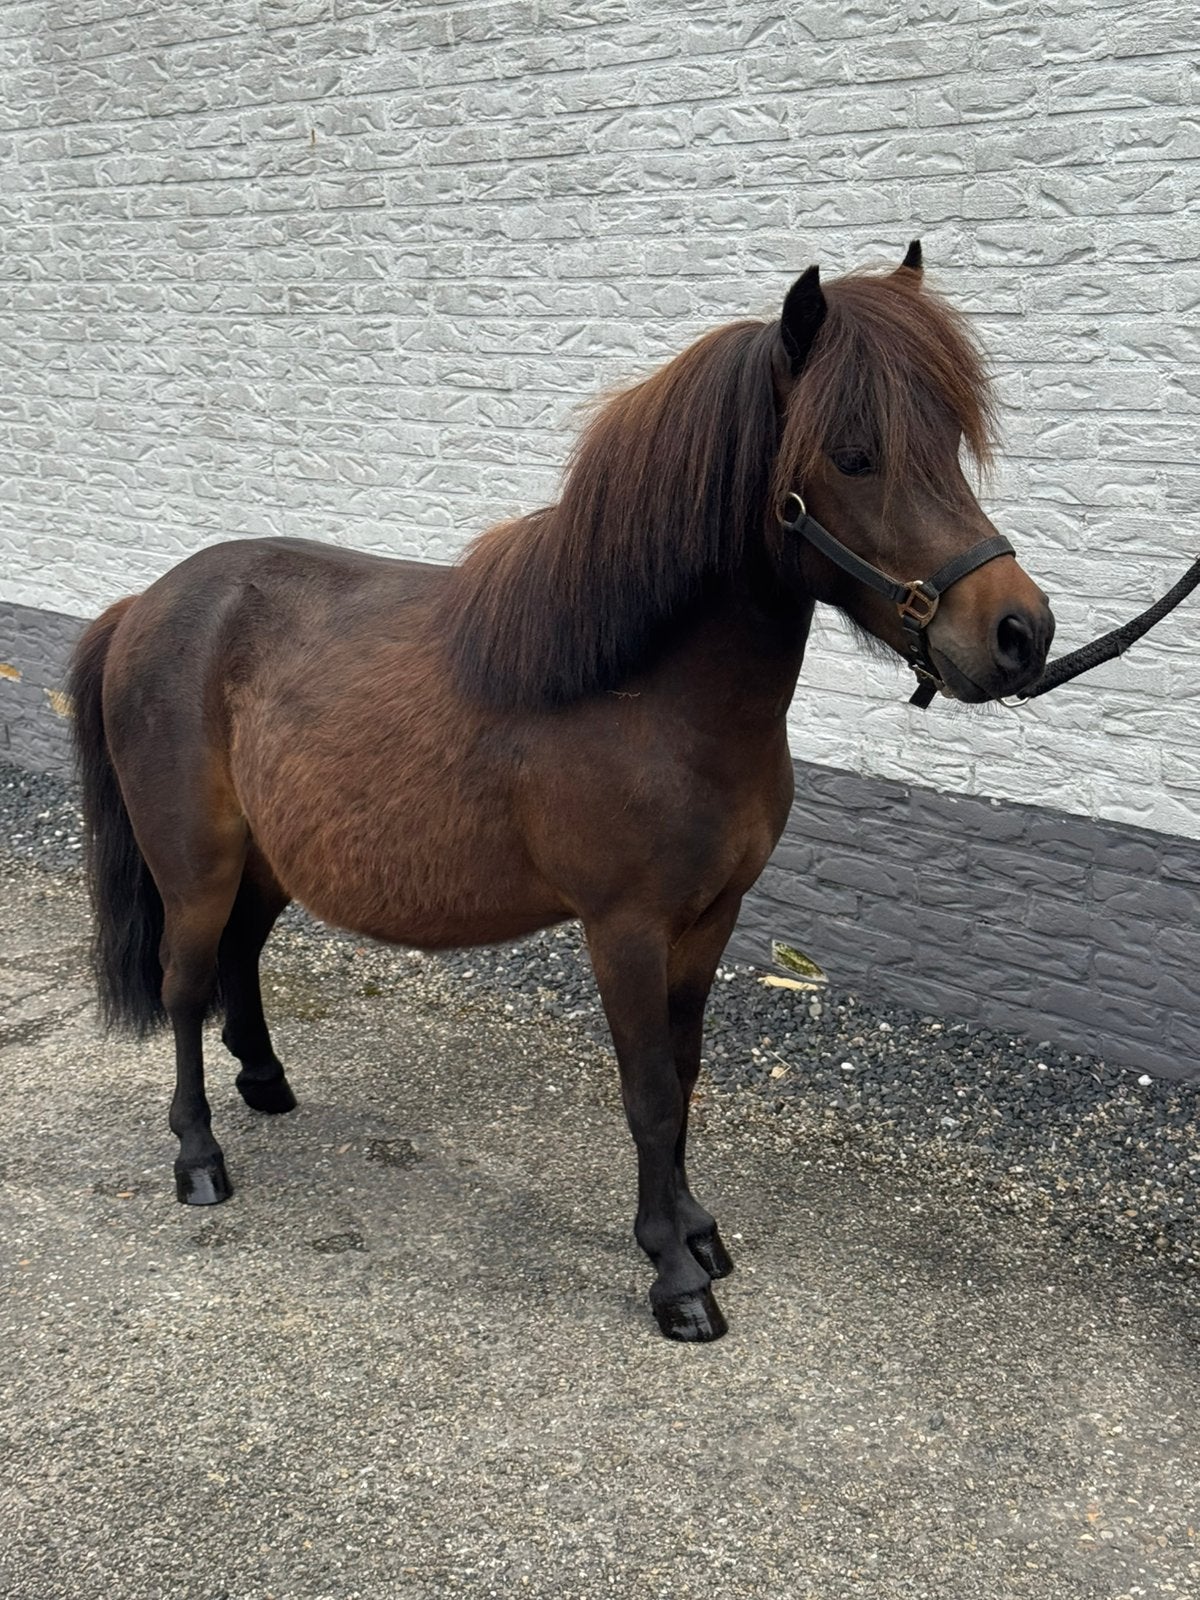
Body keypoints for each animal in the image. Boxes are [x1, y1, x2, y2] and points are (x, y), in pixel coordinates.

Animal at [69, 242, 1053, 1342]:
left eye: (951, 443)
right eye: (851, 456)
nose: (1020, 632)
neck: (648, 693)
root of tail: (145, 604)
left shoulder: (710, 919)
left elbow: (686, 1070)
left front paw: (697, 1227)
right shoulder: (623, 927)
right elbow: (650, 1092)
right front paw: (674, 1274)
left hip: (268, 862)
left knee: (239, 963)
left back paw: (268, 1085)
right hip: (193, 865)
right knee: (184, 985)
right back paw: (199, 1158)